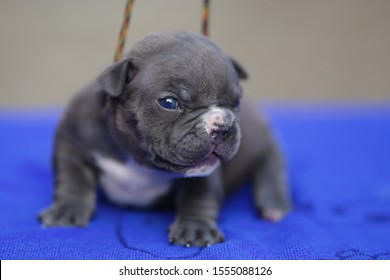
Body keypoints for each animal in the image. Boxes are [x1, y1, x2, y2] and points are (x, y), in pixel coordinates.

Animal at [38, 31, 290, 247]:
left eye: (236, 102)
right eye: (169, 103)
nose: (222, 125)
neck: (137, 161)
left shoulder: (204, 173)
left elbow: (200, 195)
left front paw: (196, 228)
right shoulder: (72, 141)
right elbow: (73, 178)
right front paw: (67, 209)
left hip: (263, 143)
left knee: (271, 165)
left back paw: (273, 203)